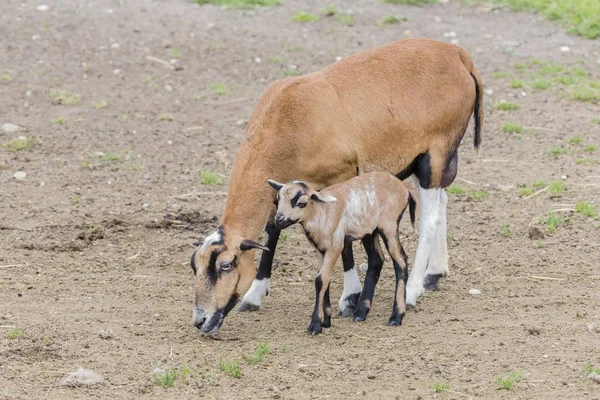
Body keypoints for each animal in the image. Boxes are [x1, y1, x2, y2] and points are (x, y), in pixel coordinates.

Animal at [268, 172, 418, 334]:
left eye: (301, 203)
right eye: (278, 199)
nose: (279, 220)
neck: (321, 212)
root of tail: (404, 187)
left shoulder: (335, 245)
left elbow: (320, 280)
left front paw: (315, 325)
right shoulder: (321, 249)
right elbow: (323, 279)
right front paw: (326, 320)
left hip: (389, 226)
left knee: (401, 261)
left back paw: (396, 316)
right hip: (370, 230)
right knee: (376, 259)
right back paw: (361, 312)